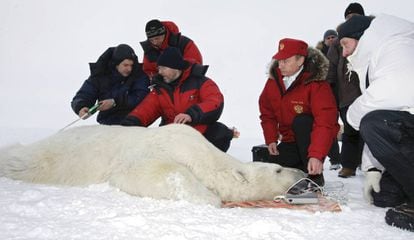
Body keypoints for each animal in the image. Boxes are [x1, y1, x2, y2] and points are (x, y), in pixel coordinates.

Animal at [0, 124, 304, 206]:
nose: (302, 171)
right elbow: (153, 172)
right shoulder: (161, 149)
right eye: (278, 169)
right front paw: (210, 198)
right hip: (48, 158)